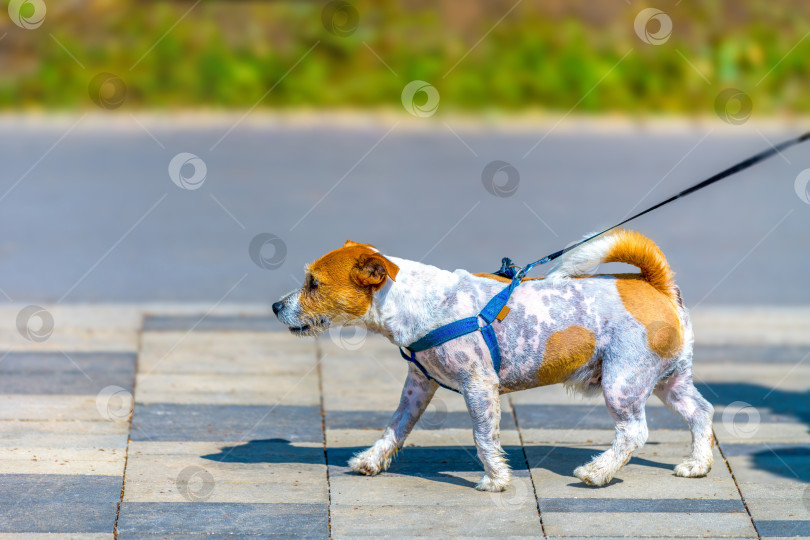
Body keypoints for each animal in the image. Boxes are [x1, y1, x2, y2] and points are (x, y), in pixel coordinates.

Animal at [274, 230, 712, 492]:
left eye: (314, 284)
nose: (277, 306)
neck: (417, 301)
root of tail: (655, 284)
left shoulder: (479, 386)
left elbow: (484, 439)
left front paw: (496, 479)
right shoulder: (418, 385)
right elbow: (395, 428)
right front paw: (370, 460)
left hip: (622, 384)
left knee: (633, 432)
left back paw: (597, 472)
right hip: (668, 381)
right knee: (701, 412)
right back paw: (697, 464)